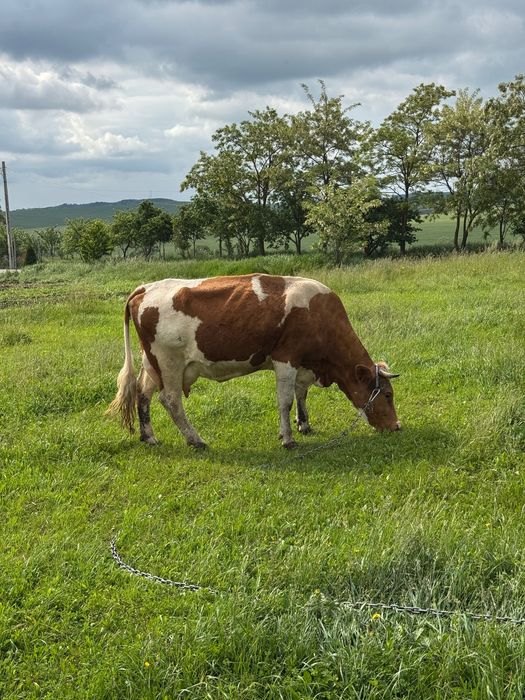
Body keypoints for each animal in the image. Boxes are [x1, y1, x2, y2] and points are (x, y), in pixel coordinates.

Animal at [107, 273, 401, 449]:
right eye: (387, 395)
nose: (396, 426)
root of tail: (146, 287)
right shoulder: (286, 358)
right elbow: (286, 400)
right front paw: (288, 439)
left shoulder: (303, 364)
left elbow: (301, 394)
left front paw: (303, 424)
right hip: (169, 363)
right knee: (170, 401)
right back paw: (196, 439)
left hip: (151, 363)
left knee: (143, 394)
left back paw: (149, 436)